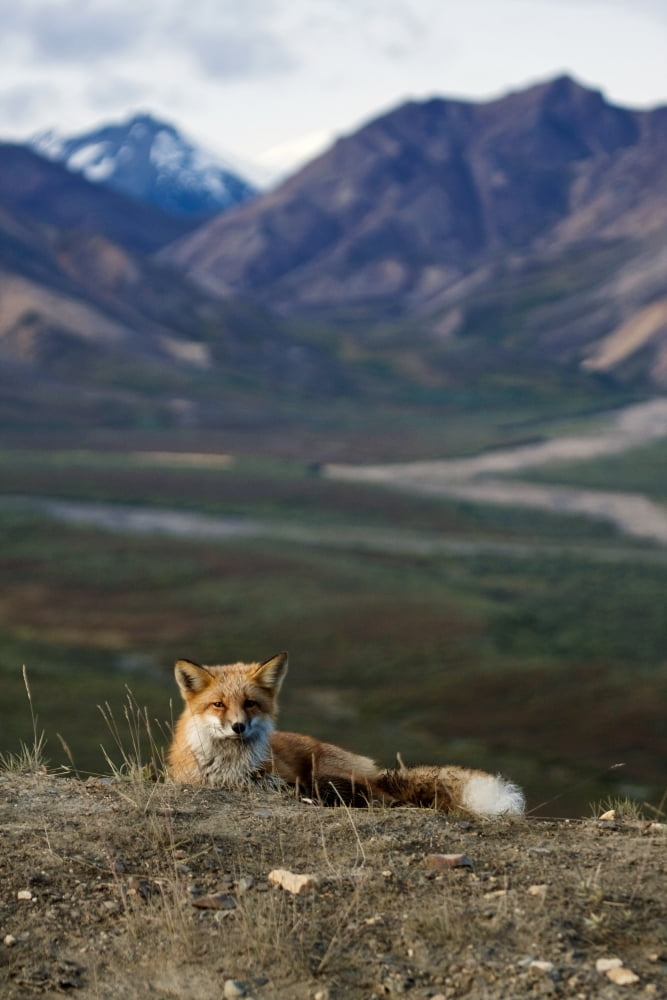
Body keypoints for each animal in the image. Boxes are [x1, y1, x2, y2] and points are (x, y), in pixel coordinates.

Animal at [167, 652, 525, 817]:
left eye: (250, 704)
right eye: (218, 704)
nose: (238, 726)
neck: (231, 768)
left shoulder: (282, 779)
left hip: (326, 775)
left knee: (382, 798)